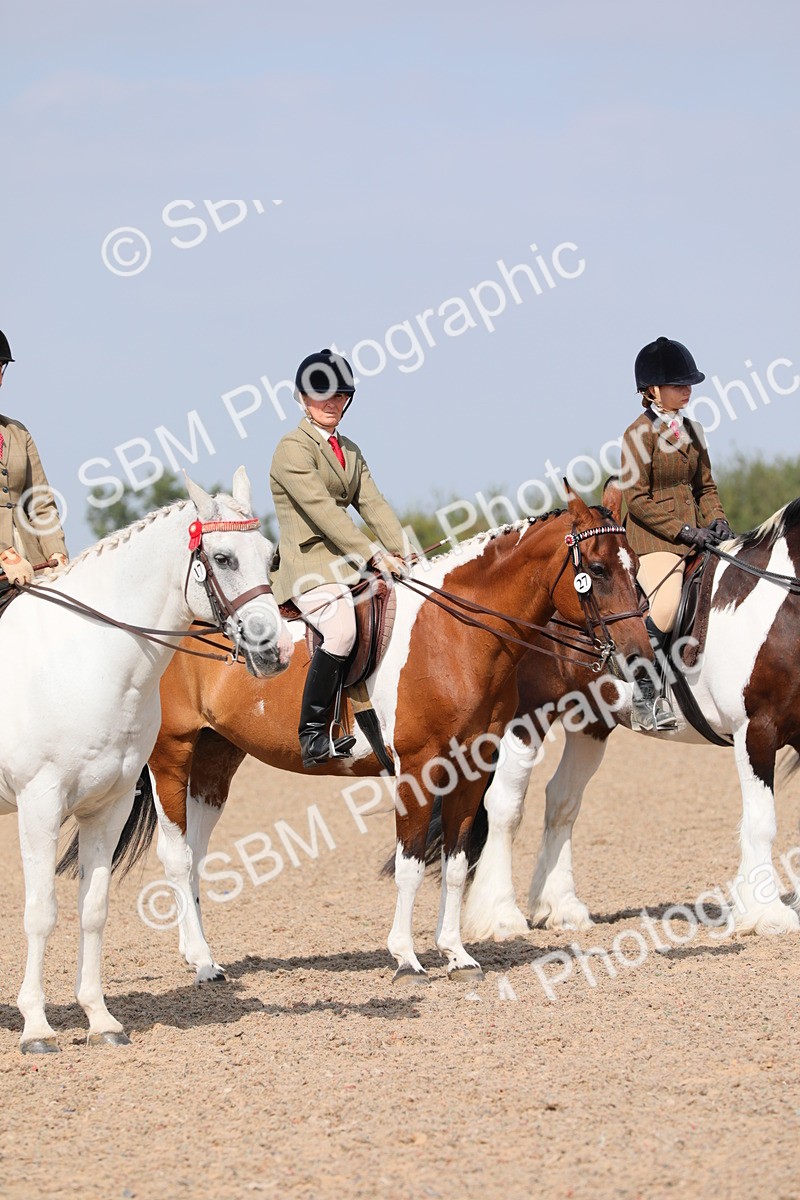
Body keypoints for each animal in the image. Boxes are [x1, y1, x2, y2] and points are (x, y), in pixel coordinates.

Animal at [0, 469, 293, 1053]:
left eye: (271, 557)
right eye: (223, 557)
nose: (274, 651)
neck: (86, 656)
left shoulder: (107, 805)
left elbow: (93, 910)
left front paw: (100, 1019)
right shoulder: (40, 803)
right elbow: (41, 913)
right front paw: (36, 1028)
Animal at [100, 491, 653, 985]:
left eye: (635, 567)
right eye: (598, 570)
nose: (640, 655)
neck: (455, 635)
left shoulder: (472, 768)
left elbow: (454, 865)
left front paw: (457, 954)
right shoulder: (419, 768)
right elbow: (411, 865)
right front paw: (407, 958)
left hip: (216, 758)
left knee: (194, 851)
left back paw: (201, 957)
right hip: (171, 755)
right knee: (177, 856)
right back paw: (201, 962)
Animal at [454, 490, 800, 944]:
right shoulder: (756, 729)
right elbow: (762, 821)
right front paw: (766, 915)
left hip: (590, 722)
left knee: (561, 800)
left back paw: (562, 908)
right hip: (528, 717)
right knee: (505, 806)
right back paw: (499, 917)